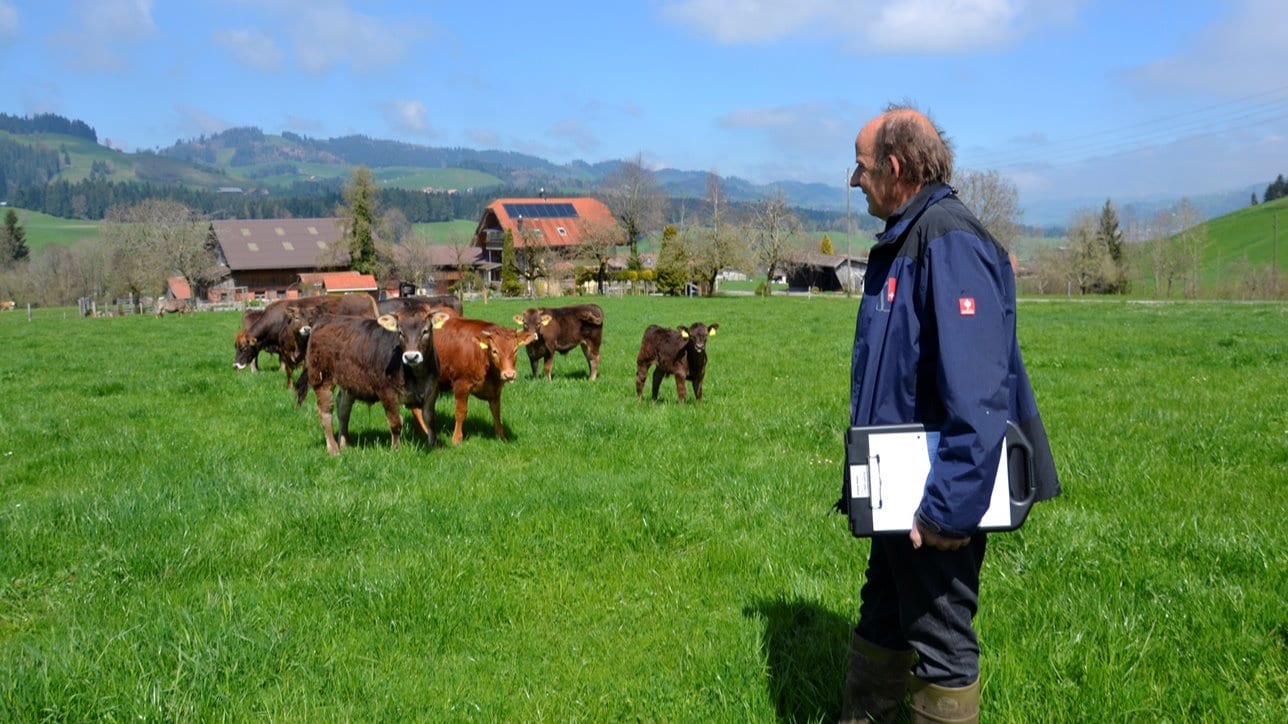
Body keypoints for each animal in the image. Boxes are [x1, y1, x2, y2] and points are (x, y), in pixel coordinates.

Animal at [297, 306, 453, 453]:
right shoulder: (387, 392)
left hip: (349, 382)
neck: (417, 375)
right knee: (325, 412)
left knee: (343, 409)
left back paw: (344, 444)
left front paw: (434, 446)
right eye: (400, 332)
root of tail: (324, 319)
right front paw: (396, 449)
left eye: (425, 331)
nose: (411, 356)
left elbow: (430, 419)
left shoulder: (432, 390)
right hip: (322, 379)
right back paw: (333, 449)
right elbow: (395, 422)